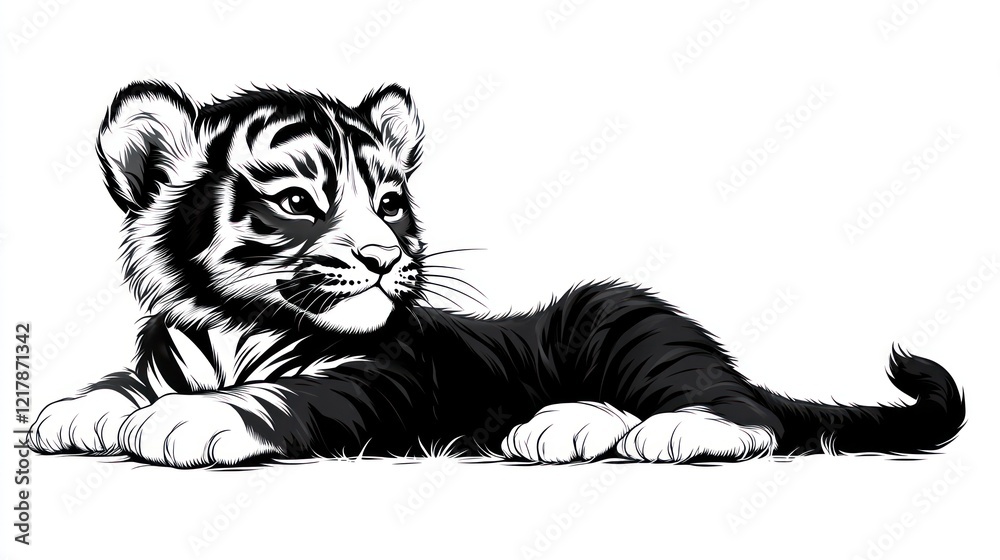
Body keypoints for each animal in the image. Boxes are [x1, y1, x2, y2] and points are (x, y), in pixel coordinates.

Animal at [26, 81, 966, 468]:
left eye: (392, 203)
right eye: (298, 201)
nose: (384, 257)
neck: (235, 326)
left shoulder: (382, 380)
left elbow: (280, 397)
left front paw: (188, 419)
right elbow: (126, 381)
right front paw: (76, 410)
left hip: (629, 326)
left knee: (749, 416)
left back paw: (659, 432)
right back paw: (565, 427)